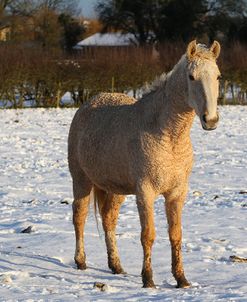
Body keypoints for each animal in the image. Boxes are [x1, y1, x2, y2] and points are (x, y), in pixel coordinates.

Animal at [68, 40, 222, 288]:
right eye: (191, 77)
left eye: (218, 76)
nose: (211, 120)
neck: (169, 136)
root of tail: (88, 104)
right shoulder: (145, 192)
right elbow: (148, 235)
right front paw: (148, 280)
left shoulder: (177, 193)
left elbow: (176, 234)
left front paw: (181, 279)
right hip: (81, 180)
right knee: (79, 217)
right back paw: (81, 261)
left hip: (115, 189)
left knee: (109, 220)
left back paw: (116, 266)